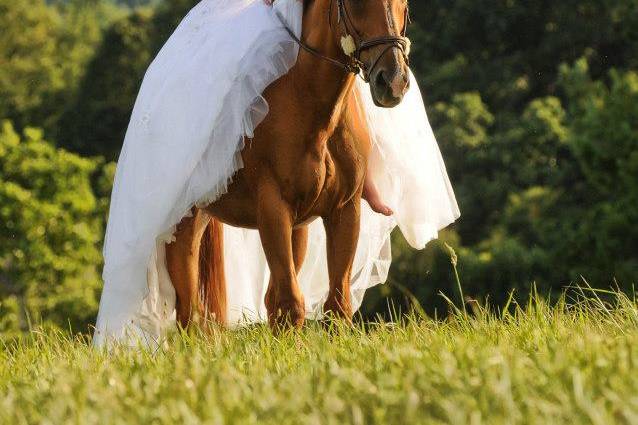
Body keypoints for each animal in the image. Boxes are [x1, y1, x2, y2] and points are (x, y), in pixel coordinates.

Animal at [168, 0, 412, 330]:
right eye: (356, 3)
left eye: (405, 4)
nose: (394, 81)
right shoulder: (273, 211)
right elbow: (290, 303)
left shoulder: (344, 211)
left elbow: (337, 305)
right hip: (183, 228)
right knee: (189, 313)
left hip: (298, 229)